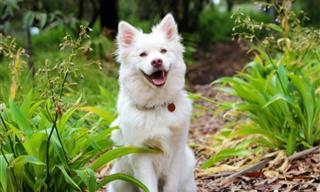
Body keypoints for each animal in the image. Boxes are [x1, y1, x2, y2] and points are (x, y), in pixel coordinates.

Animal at [109, 13, 196, 192]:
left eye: (163, 51)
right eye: (143, 54)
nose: (157, 61)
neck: (157, 105)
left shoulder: (176, 151)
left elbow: (171, 185)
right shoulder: (142, 156)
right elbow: (148, 185)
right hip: (120, 181)